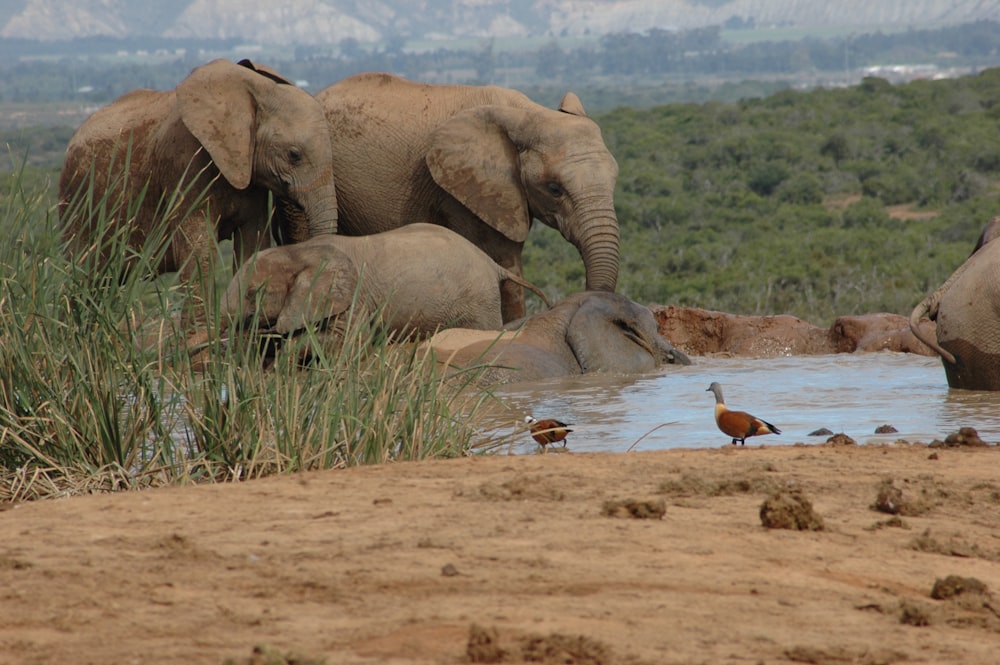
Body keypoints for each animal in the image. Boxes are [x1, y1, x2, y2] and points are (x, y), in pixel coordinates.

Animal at [58, 58, 340, 328]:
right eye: (294, 155)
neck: (252, 91)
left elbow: (252, 242)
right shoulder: (185, 165)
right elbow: (199, 252)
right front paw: (201, 333)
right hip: (76, 203)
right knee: (81, 277)